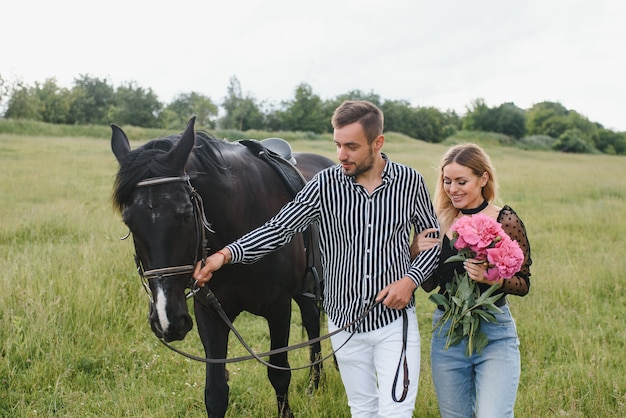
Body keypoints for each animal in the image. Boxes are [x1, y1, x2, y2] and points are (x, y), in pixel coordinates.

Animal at [112, 117, 336, 418]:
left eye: (186, 214)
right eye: (128, 221)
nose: (166, 320)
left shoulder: (279, 308)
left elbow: (279, 374)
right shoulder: (209, 312)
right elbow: (216, 392)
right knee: (312, 319)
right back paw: (316, 384)